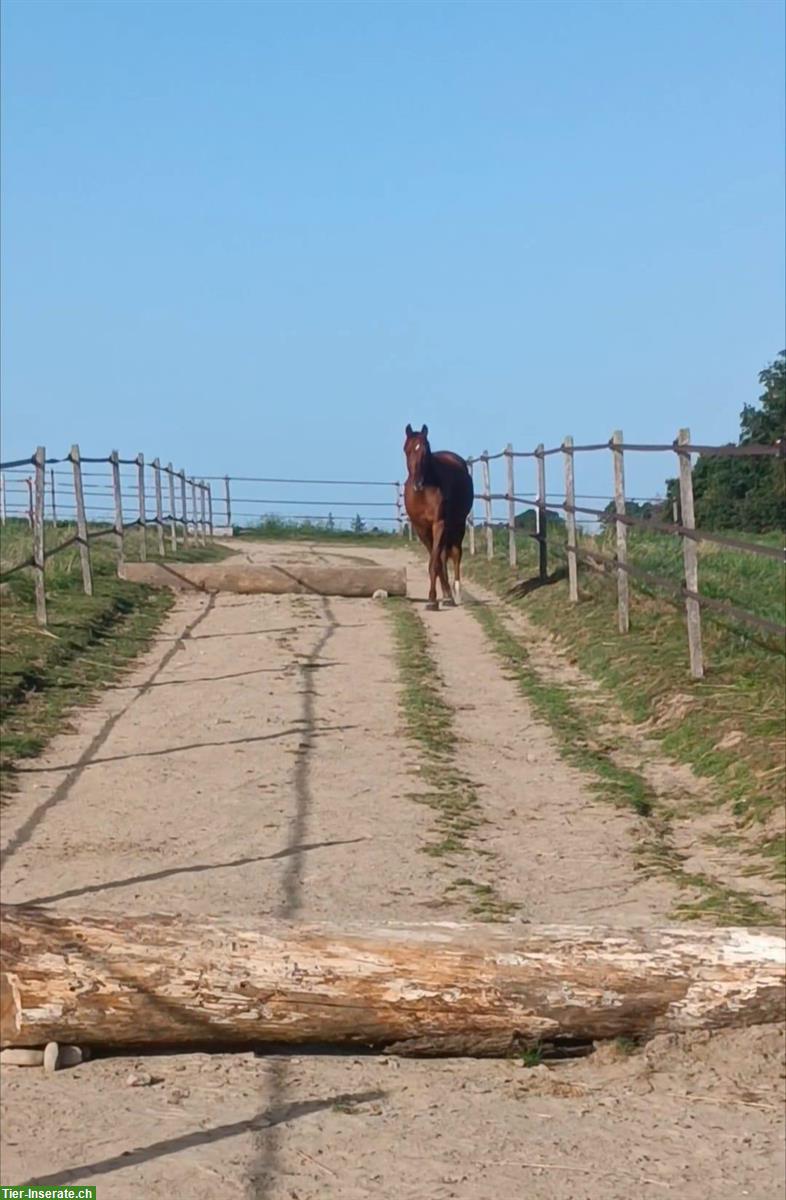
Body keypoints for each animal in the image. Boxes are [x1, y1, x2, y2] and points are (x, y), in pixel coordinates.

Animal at [405, 422, 472, 609]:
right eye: (407, 450)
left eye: (425, 450)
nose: (417, 483)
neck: (424, 492)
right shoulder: (421, 528)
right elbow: (435, 560)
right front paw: (437, 597)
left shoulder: (439, 523)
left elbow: (434, 562)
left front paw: (432, 599)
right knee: (442, 556)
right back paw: (447, 593)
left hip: (458, 524)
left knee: (455, 554)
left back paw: (455, 592)